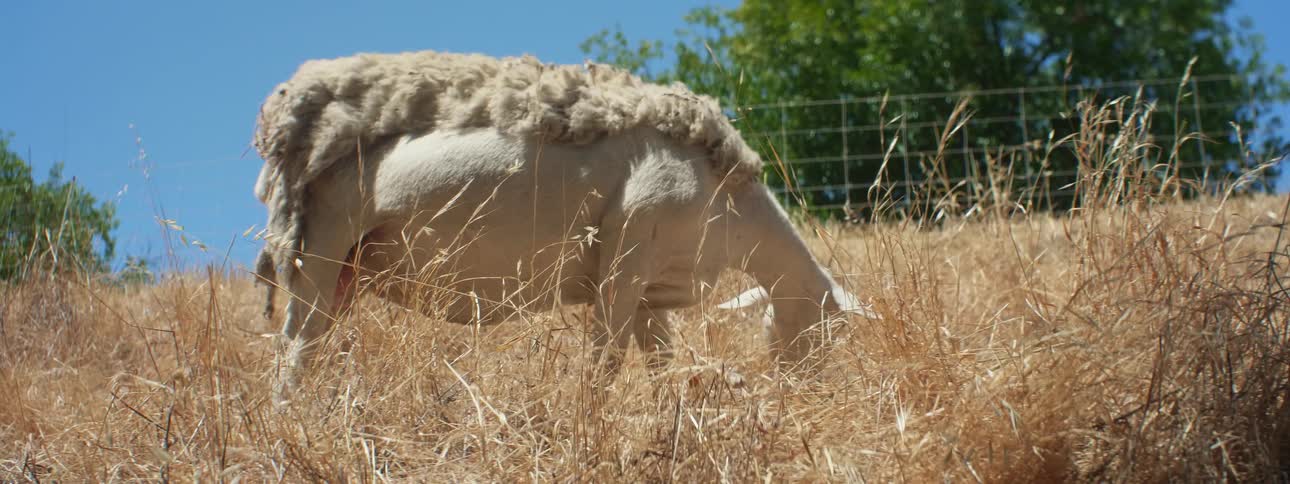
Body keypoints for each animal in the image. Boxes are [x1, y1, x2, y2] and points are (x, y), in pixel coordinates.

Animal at [252, 50, 875, 402]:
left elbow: (660, 365)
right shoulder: (624, 259)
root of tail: (281, 113)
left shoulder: (650, 291)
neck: (737, 216)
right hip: (317, 241)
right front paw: (589, 423)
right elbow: (603, 364)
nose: (810, 398)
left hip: (347, 269)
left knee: (312, 349)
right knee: (292, 358)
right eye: (831, 333)